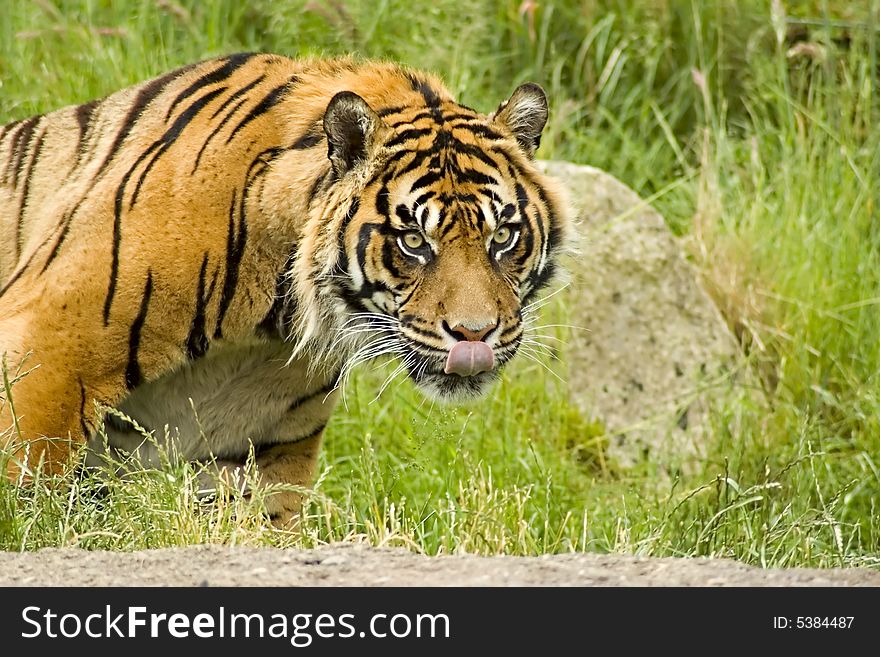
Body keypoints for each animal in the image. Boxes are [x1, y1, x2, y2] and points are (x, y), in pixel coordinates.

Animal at [0, 53, 572, 524]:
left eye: (502, 236)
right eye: (413, 240)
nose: (475, 335)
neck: (272, 323)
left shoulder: (256, 444)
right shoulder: (50, 349)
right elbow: (25, 484)